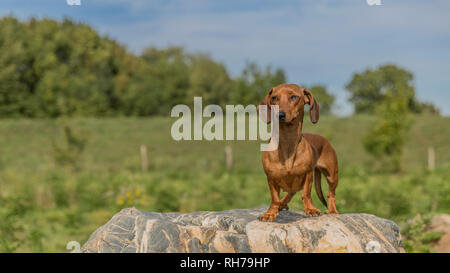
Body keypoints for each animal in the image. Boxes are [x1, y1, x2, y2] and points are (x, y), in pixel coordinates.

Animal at [256, 83, 338, 221]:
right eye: (274, 98)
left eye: (294, 97)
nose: (280, 115)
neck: (288, 142)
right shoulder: (271, 177)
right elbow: (274, 198)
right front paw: (270, 213)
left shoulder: (308, 175)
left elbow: (306, 194)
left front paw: (311, 209)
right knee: (290, 192)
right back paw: (282, 204)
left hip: (332, 176)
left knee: (330, 194)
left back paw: (332, 210)